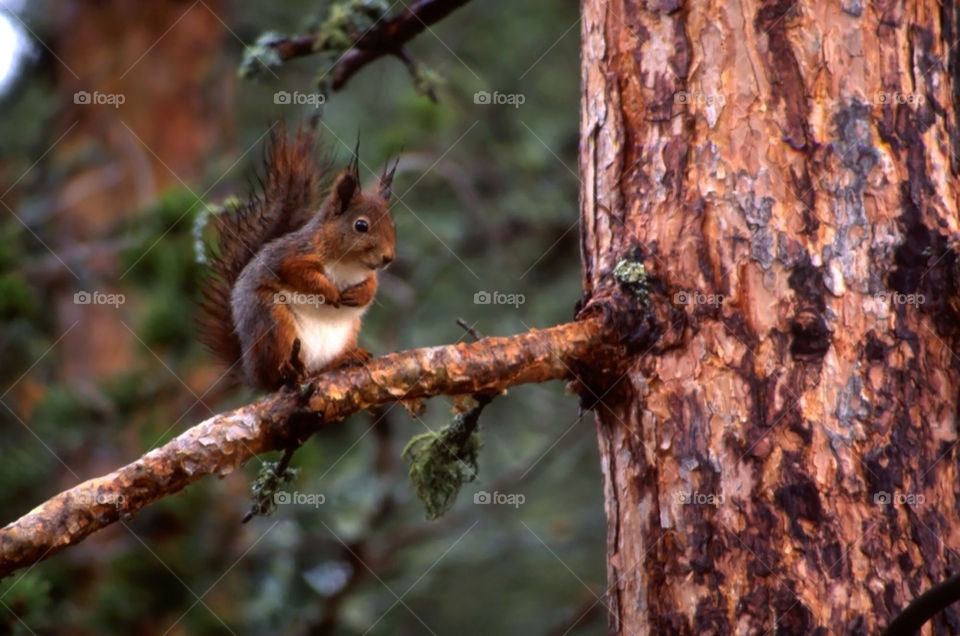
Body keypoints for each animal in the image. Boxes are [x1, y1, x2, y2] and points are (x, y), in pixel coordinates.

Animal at [200, 124, 397, 391]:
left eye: (392, 224)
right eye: (361, 225)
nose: (389, 258)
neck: (349, 265)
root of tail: (253, 374)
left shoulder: (367, 274)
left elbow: (372, 286)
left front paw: (359, 294)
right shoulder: (292, 255)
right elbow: (299, 273)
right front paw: (330, 292)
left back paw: (344, 358)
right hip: (272, 319)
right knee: (279, 374)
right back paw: (290, 371)